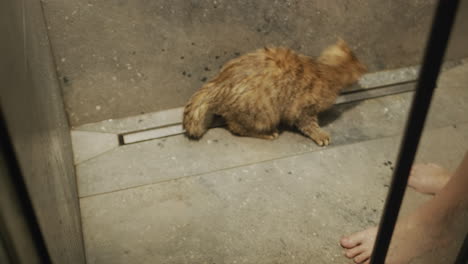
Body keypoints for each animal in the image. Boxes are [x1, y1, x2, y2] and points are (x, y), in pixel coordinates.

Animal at [183, 39, 366, 146]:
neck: (326, 70)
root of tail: (218, 82)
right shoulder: (302, 110)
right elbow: (310, 125)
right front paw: (320, 135)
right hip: (264, 114)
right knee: (236, 127)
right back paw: (268, 134)